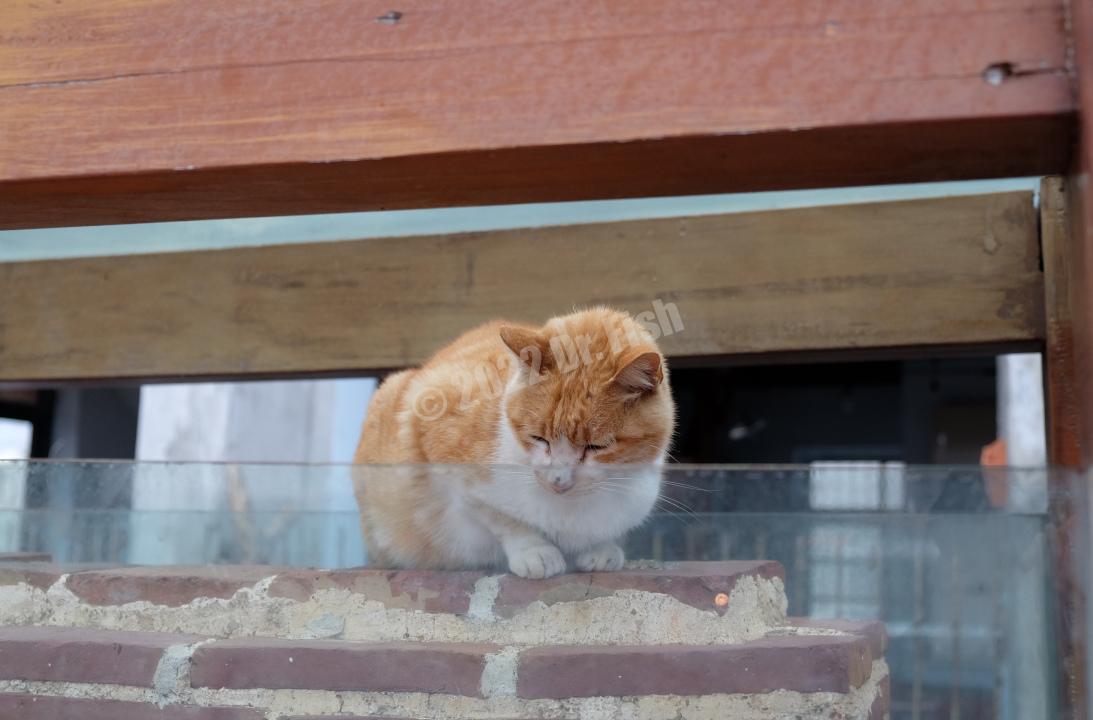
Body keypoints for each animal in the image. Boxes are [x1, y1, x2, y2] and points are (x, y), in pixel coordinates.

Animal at [354, 308, 668, 581]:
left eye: (595, 447)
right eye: (538, 438)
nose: (558, 482)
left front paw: (601, 548)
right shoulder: (444, 454)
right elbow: (502, 518)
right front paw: (536, 552)